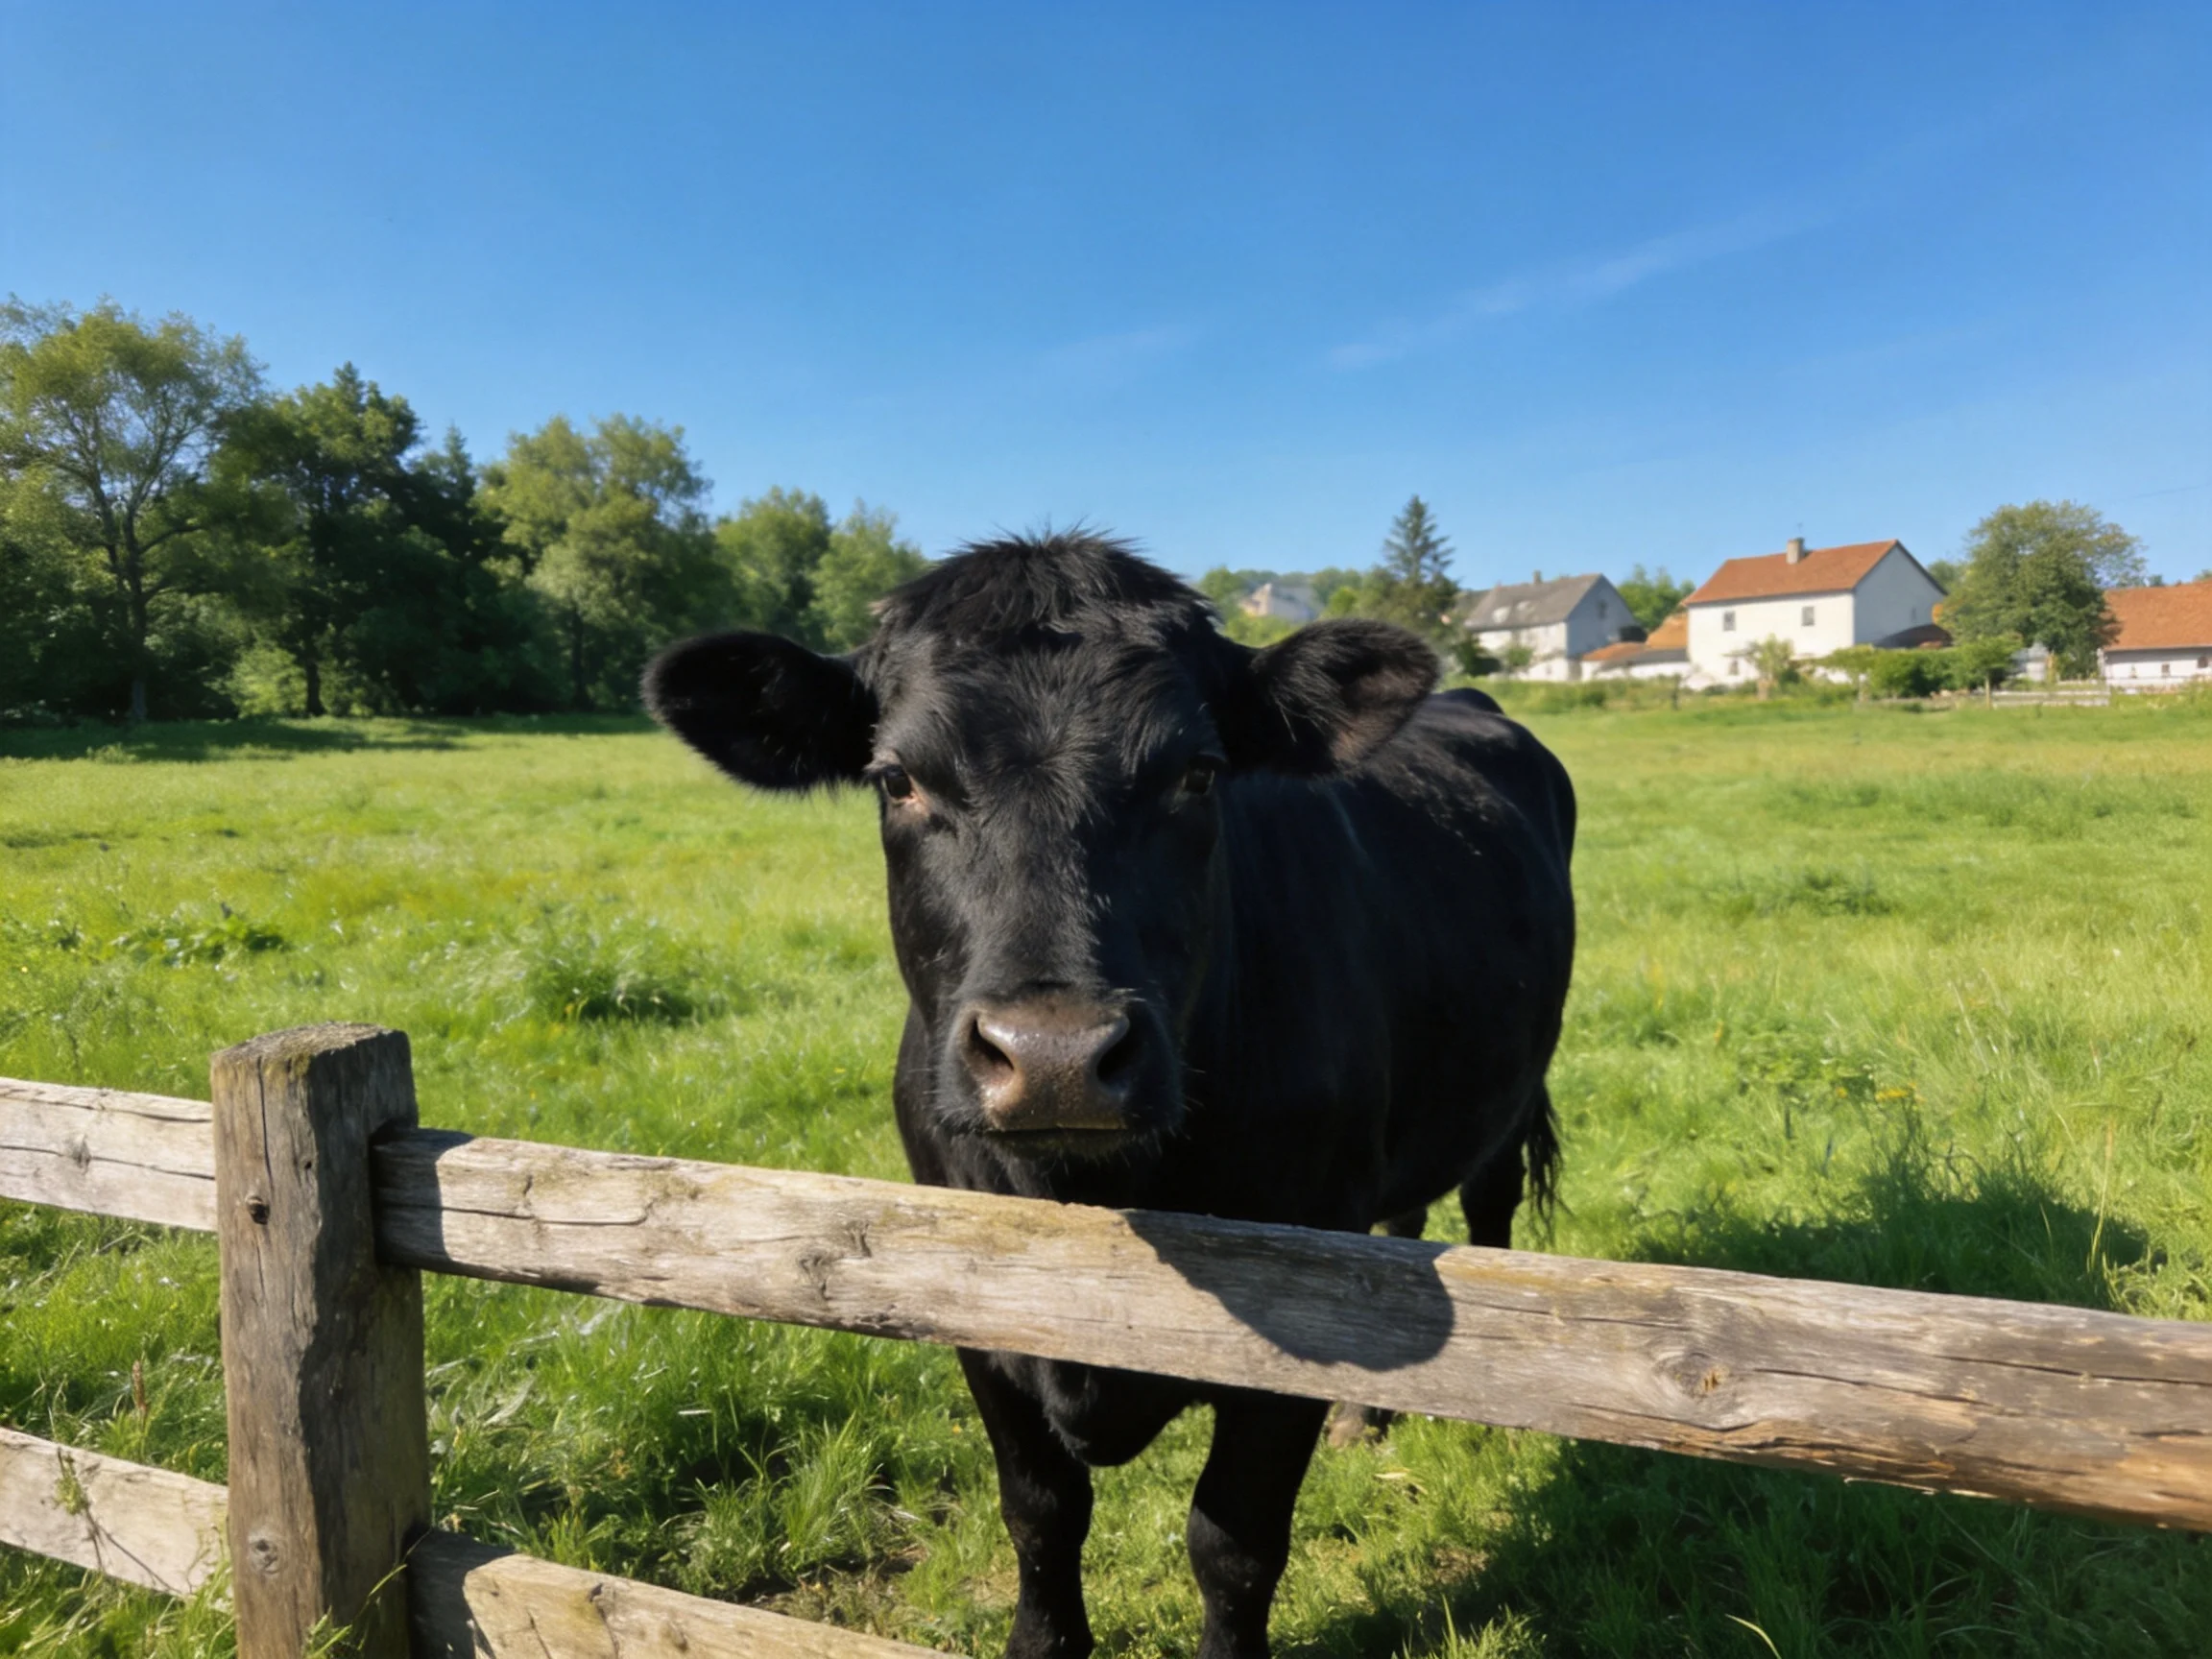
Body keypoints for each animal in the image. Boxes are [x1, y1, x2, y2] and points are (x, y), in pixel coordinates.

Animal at [645, 532, 1575, 1659]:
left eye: (1199, 773)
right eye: (897, 778)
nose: (1055, 1054)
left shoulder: (1302, 1279)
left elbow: (1234, 1540)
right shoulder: (965, 1297)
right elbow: (1041, 1510)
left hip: (1513, 1089)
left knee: (1486, 1208)